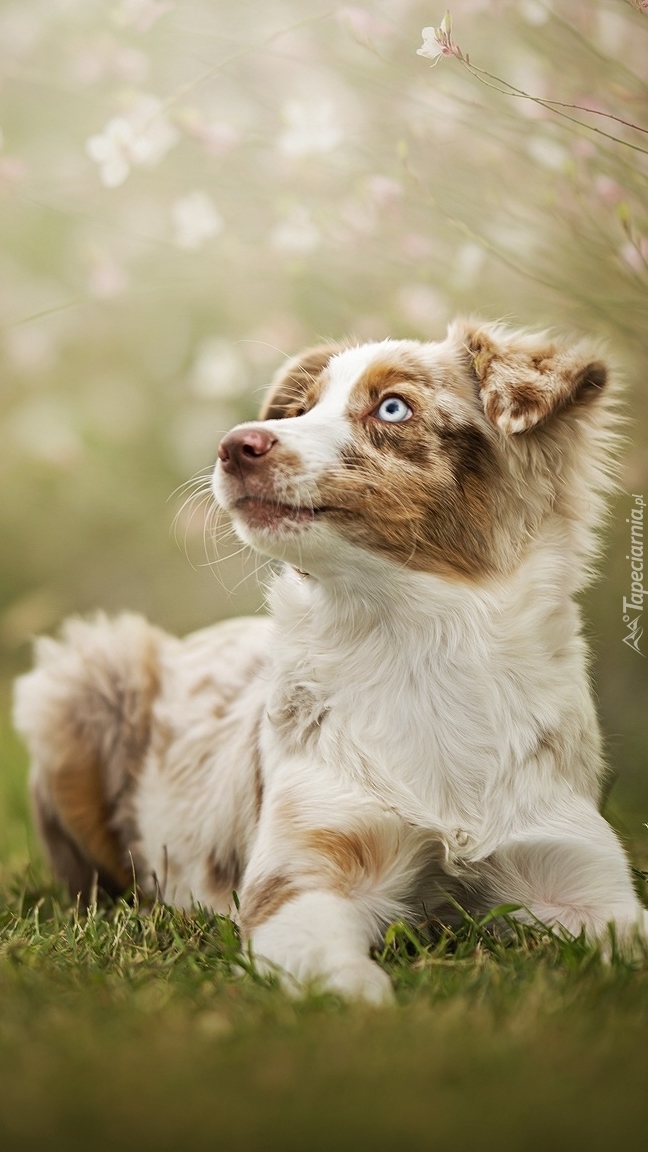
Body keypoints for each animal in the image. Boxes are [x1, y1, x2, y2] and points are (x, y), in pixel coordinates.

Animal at [12, 320, 641, 1004]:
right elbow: (339, 974)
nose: (234, 445)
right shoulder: (305, 873)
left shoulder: (578, 875)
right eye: (298, 411)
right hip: (82, 676)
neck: (418, 646)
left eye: (392, 407)